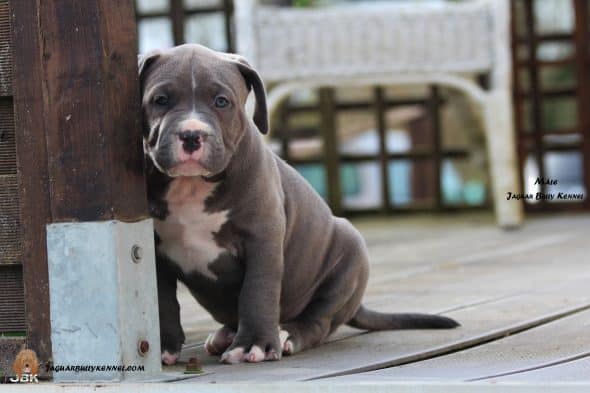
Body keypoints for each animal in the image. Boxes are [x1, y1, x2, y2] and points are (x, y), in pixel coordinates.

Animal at [141, 43, 460, 364]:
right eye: (160, 100)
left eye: (221, 101)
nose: (191, 134)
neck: (191, 184)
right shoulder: (155, 250)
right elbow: (160, 301)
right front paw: (163, 346)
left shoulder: (262, 238)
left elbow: (258, 291)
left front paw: (254, 344)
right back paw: (226, 335)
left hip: (349, 252)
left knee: (317, 321)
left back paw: (287, 335)